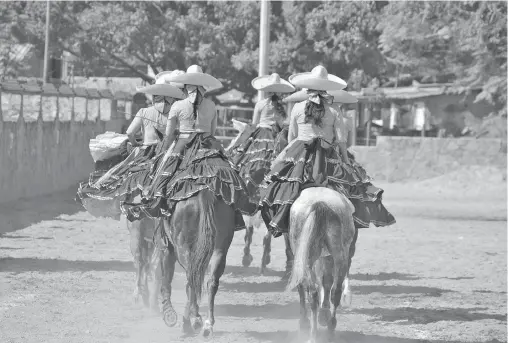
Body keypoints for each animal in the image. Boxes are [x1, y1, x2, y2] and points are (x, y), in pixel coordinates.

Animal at [286, 188, 358, 343]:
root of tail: (320, 203)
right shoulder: (328, 257)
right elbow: (326, 282)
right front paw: (323, 315)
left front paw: (307, 321)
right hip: (339, 256)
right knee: (334, 292)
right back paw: (330, 328)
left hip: (308, 258)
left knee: (313, 293)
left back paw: (314, 333)